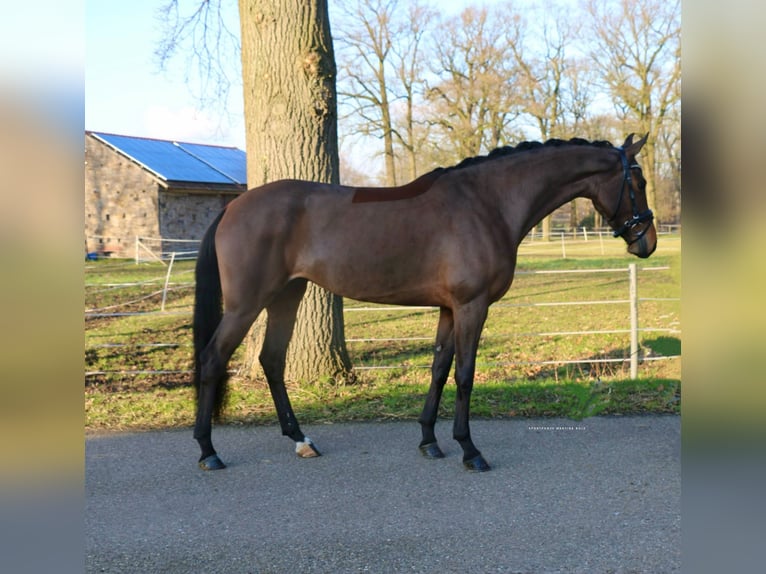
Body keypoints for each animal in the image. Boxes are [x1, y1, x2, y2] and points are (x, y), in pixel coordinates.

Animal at [192, 134, 656, 472]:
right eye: (638, 183)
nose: (647, 242)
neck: (487, 204)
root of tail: (234, 206)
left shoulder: (449, 309)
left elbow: (439, 369)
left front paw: (429, 441)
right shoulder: (472, 306)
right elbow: (465, 375)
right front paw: (470, 450)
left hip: (287, 296)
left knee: (272, 360)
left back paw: (301, 440)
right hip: (246, 304)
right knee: (213, 359)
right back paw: (208, 451)